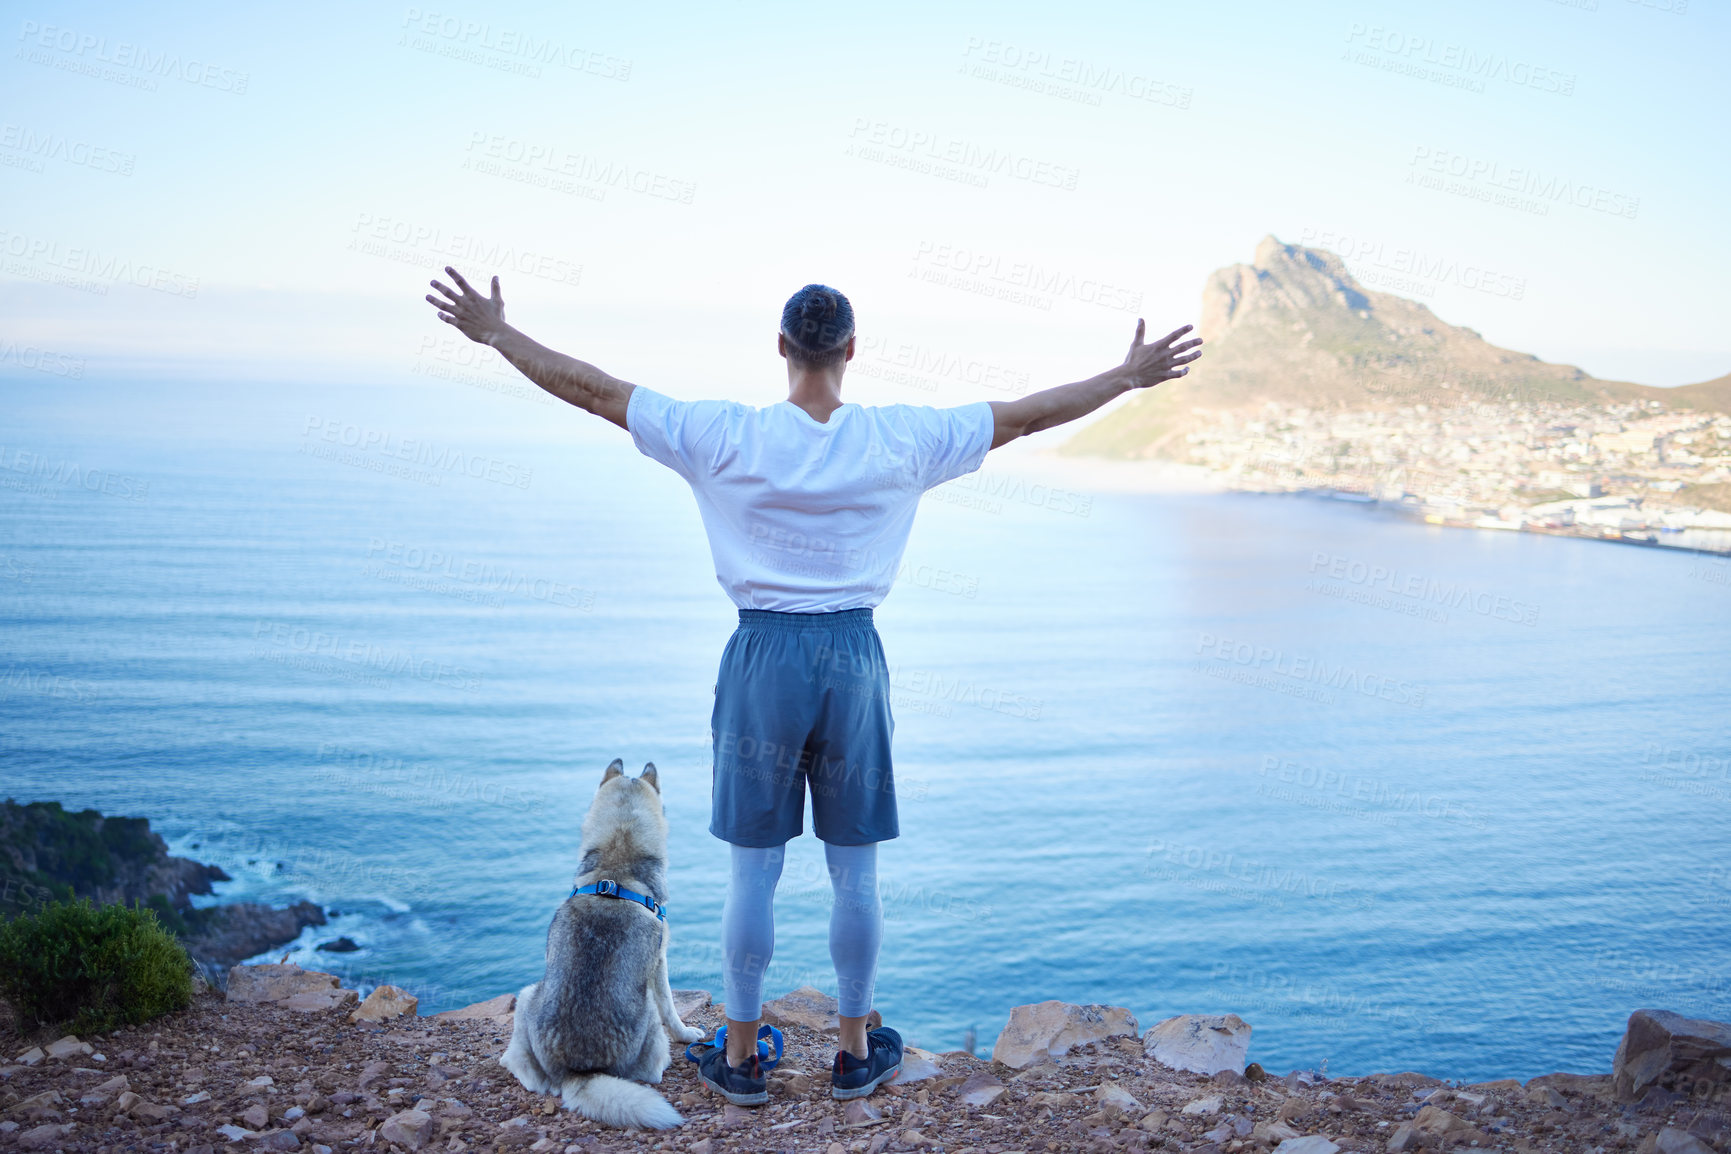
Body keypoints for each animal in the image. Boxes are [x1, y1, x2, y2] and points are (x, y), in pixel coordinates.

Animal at [501, 761, 702, 1134]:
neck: (615, 866)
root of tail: (580, 1072)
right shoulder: (660, 962)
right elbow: (672, 1008)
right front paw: (686, 1033)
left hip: (528, 994)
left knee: (517, 1064)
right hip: (647, 1014)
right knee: (652, 1070)